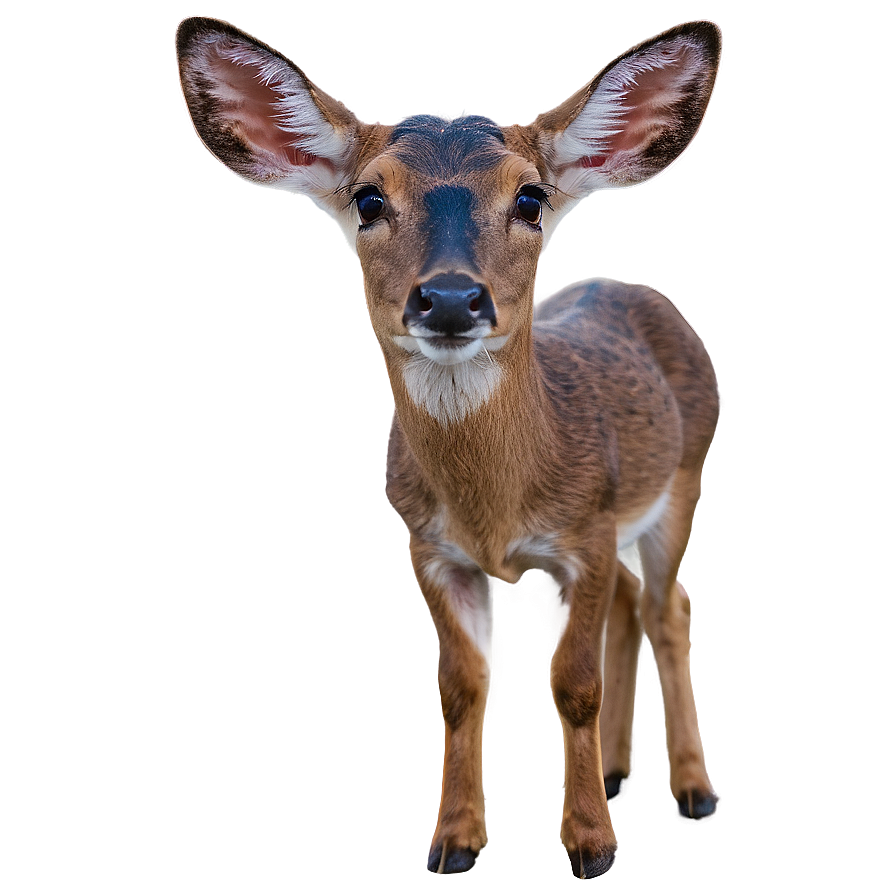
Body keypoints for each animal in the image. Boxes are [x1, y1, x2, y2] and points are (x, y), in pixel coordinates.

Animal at [178, 17, 724, 880]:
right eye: (369, 197)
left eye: (530, 197)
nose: (450, 298)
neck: (495, 512)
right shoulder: (430, 548)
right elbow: (460, 688)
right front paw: (455, 840)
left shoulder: (589, 530)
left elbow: (575, 683)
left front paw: (591, 845)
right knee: (638, 608)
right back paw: (618, 771)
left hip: (684, 480)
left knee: (670, 607)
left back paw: (695, 790)